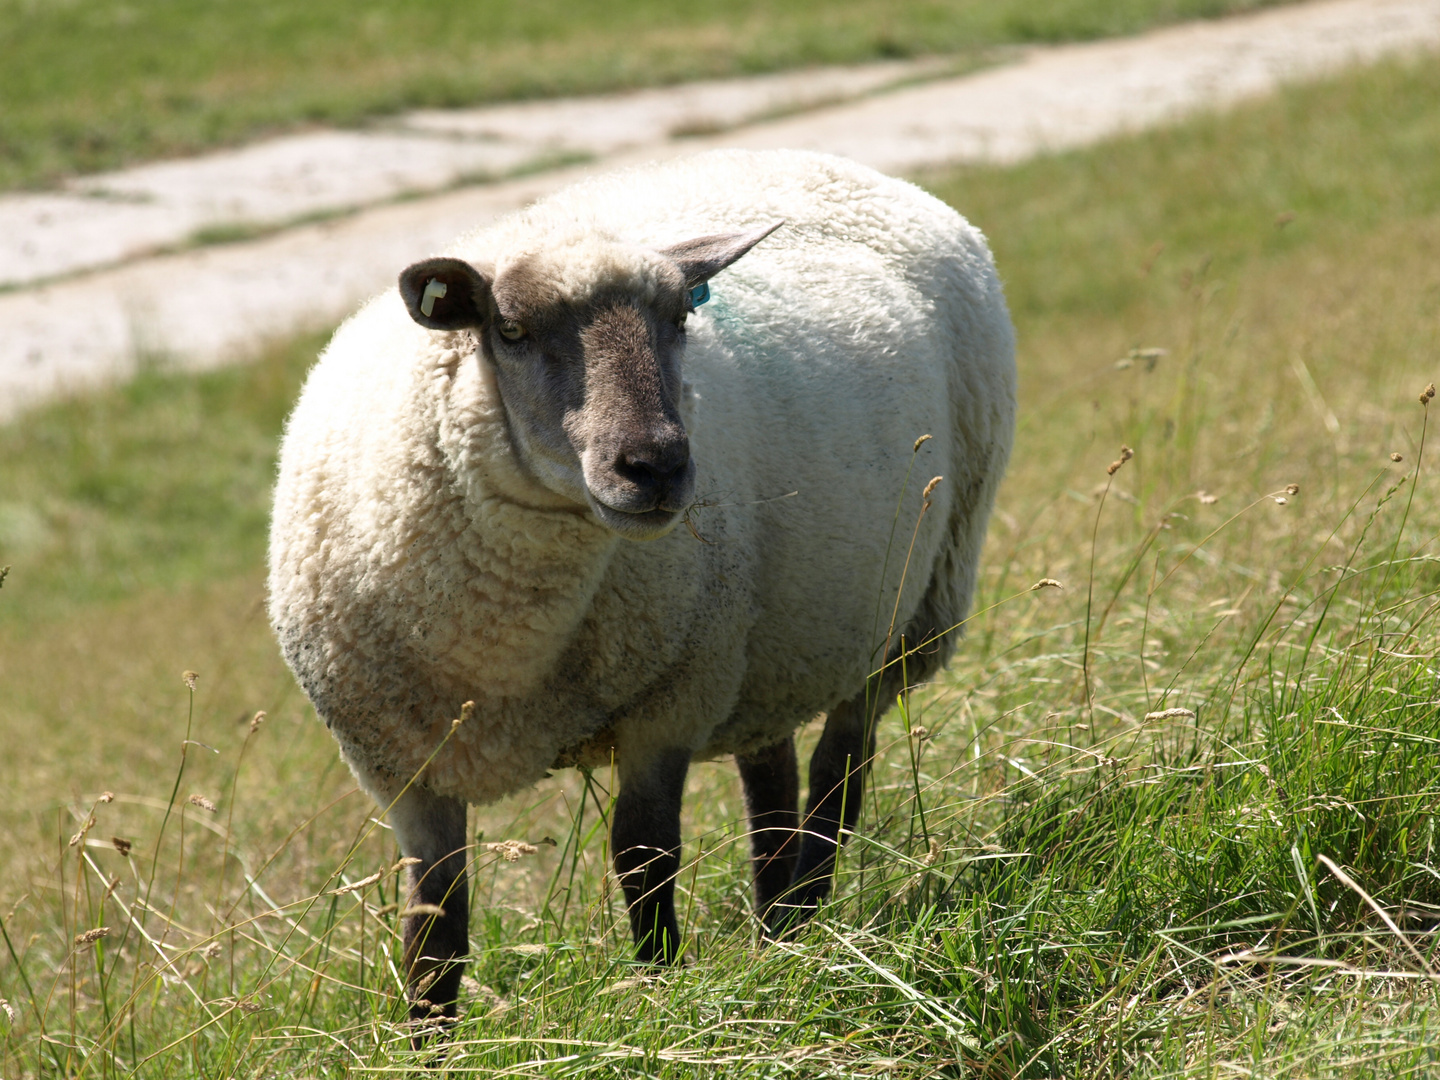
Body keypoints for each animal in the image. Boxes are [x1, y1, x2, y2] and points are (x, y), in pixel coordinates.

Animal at [267, 146, 1013, 1031]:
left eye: (681, 320)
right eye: (510, 331)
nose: (655, 465)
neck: (506, 650)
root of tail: (850, 165)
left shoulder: (667, 706)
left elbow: (644, 862)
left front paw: (658, 997)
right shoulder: (406, 772)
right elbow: (433, 937)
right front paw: (425, 1046)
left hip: (900, 619)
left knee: (839, 776)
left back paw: (805, 917)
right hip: (764, 646)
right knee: (771, 785)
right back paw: (779, 932)